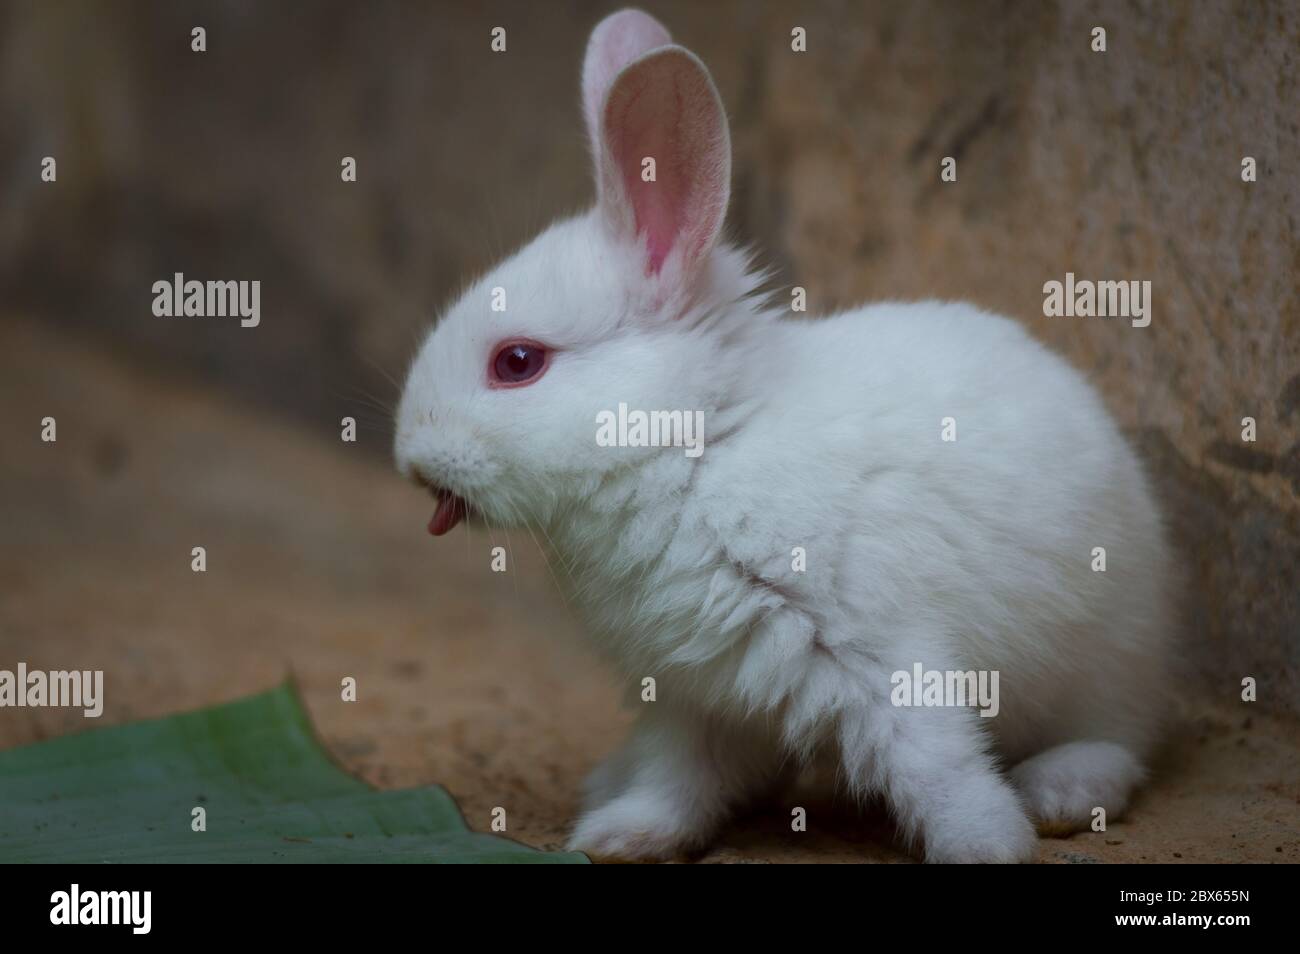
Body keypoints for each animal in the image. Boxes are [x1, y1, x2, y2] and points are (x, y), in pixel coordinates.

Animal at [390, 7, 1175, 863]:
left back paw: (1059, 789)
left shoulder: (886, 656)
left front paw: (988, 846)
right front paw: (623, 836)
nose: (409, 457)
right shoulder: (689, 692)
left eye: (518, 362)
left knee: (1121, 740)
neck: (700, 447)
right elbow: (677, 780)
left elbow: (939, 770)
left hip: (1108, 664)